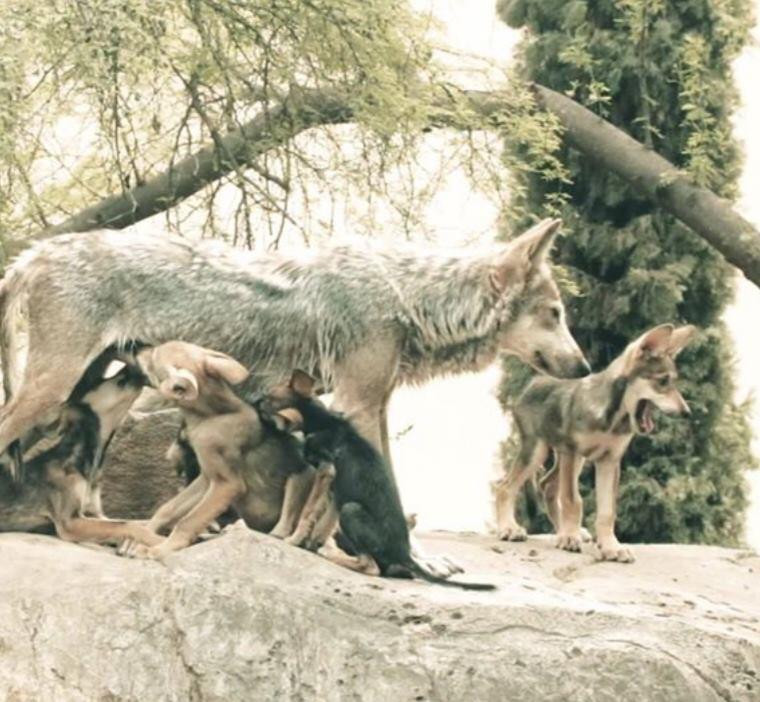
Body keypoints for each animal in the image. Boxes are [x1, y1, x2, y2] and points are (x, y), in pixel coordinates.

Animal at [0, 218, 589, 473]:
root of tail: (40, 250)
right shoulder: (357, 404)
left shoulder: (372, 404)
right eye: (555, 314)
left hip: (74, 391)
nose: (585, 366)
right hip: (50, 388)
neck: (406, 296)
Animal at [492, 324, 696, 563]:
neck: (610, 418)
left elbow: (607, 512)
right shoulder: (572, 452)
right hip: (538, 450)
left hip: (571, 460)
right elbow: (573, 500)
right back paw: (510, 528)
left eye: (673, 382)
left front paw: (610, 546)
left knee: (547, 485)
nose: (687, 412)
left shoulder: (609, 461)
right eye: (663, 381)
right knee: (505, 487)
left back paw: (562, 530)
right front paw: (570, 538)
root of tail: (534, 382)